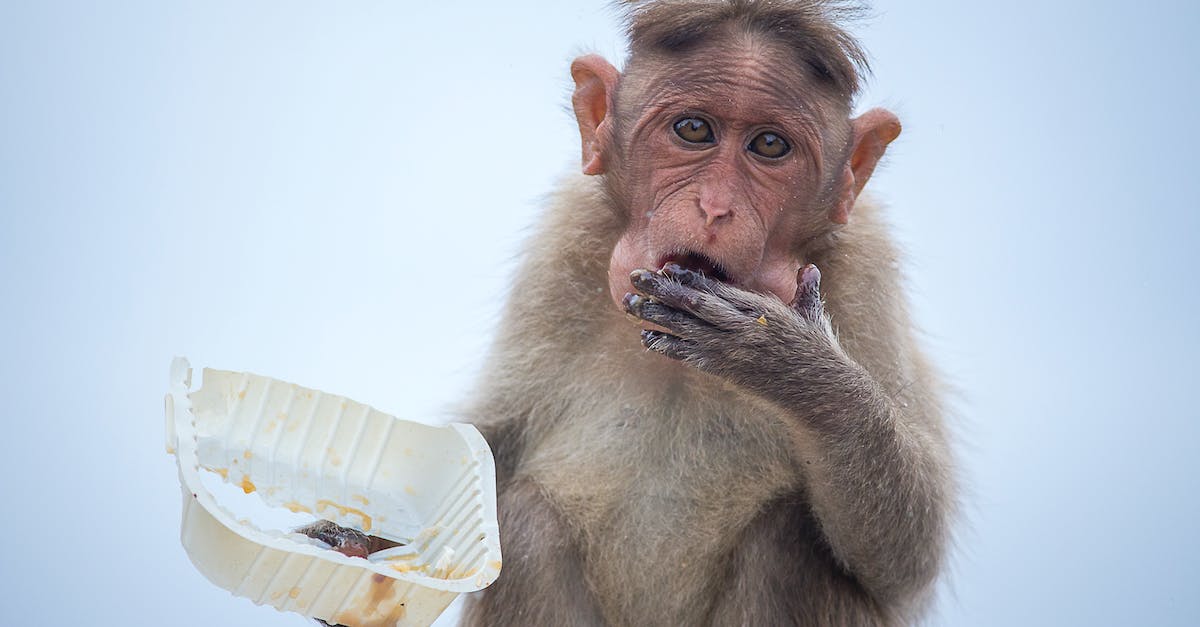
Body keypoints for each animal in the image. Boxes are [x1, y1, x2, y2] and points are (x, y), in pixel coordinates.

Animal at [305, 1, 955, 625]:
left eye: (770, 146)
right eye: (693, 130)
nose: (714, 207)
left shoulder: (868, 267)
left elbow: (904, 561)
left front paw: (788, 362)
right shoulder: (563, 241)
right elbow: (493, 446)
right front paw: (361, 541)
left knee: (789, 540)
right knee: (528, 522)